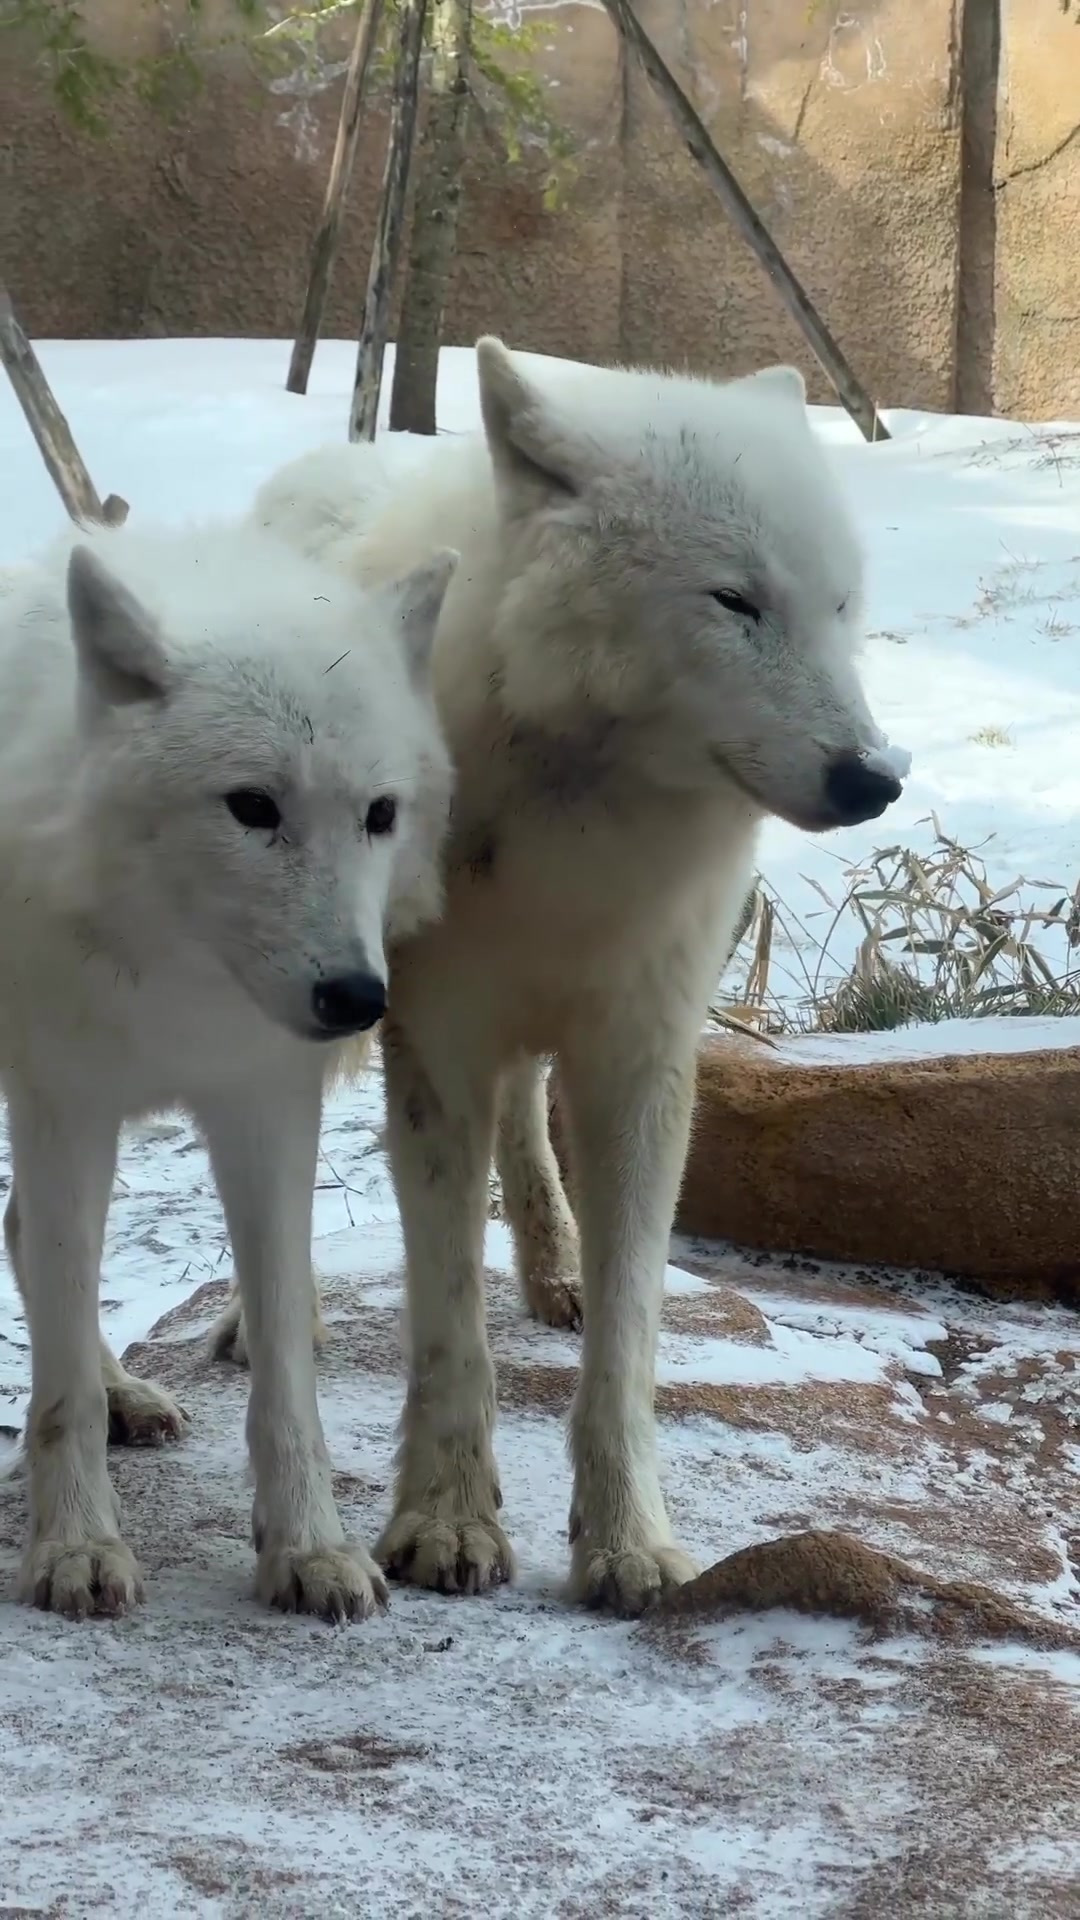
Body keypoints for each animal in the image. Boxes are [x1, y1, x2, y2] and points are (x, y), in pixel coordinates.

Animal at [0, 518, 449, 1612]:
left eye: (381, 813)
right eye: (251, 806)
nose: (356, 1000)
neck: (179, 979)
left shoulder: (266, 1110)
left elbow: (284, 1365)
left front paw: (310, 1549)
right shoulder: (65, 1106)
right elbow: (60, 1383)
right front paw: (76, 1548)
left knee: (22, 1234)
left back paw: (127, 1394)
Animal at [237, 337, 907, 1612]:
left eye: (844, 606)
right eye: (735, 601)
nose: (875, 778)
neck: (582, 823)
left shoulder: (641, 1053)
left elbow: (630, 1340)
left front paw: (628, 1541)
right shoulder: (435, 1044)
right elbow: (448, 1321)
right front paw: (447, 1522)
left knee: (528, 1132)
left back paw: (556, 1273)